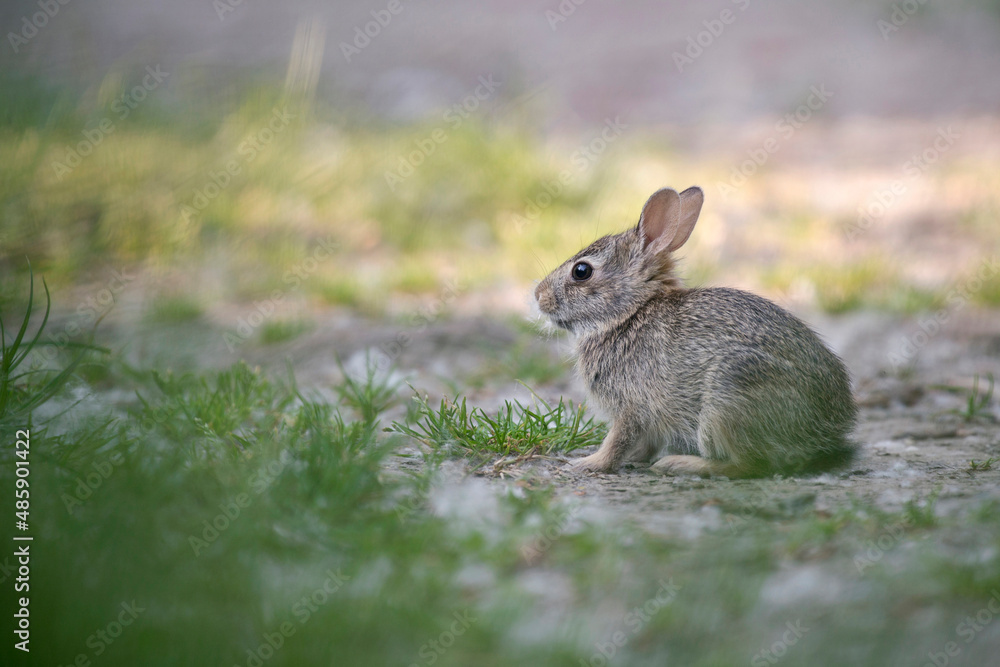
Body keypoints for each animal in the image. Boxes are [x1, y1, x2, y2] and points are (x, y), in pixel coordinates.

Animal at [534, 186, 858, 477]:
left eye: (582, 271)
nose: (538, 295)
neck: (630, 312)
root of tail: (827, 431)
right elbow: (643, 444)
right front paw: (633, 459)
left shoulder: (632, 407)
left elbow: (617, 441)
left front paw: (586, 464)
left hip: (727, 396)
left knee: (747, 465)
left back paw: (680, 464)